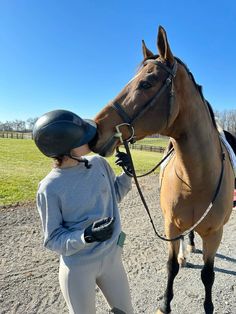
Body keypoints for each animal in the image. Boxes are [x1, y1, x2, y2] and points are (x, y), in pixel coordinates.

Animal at [90, 25, 234, 312]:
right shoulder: (170, 226)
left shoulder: (215, 234)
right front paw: (165, 303)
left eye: (146, 84)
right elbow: (170, 267)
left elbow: (208, 275)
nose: (96, 129)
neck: (196, 178)